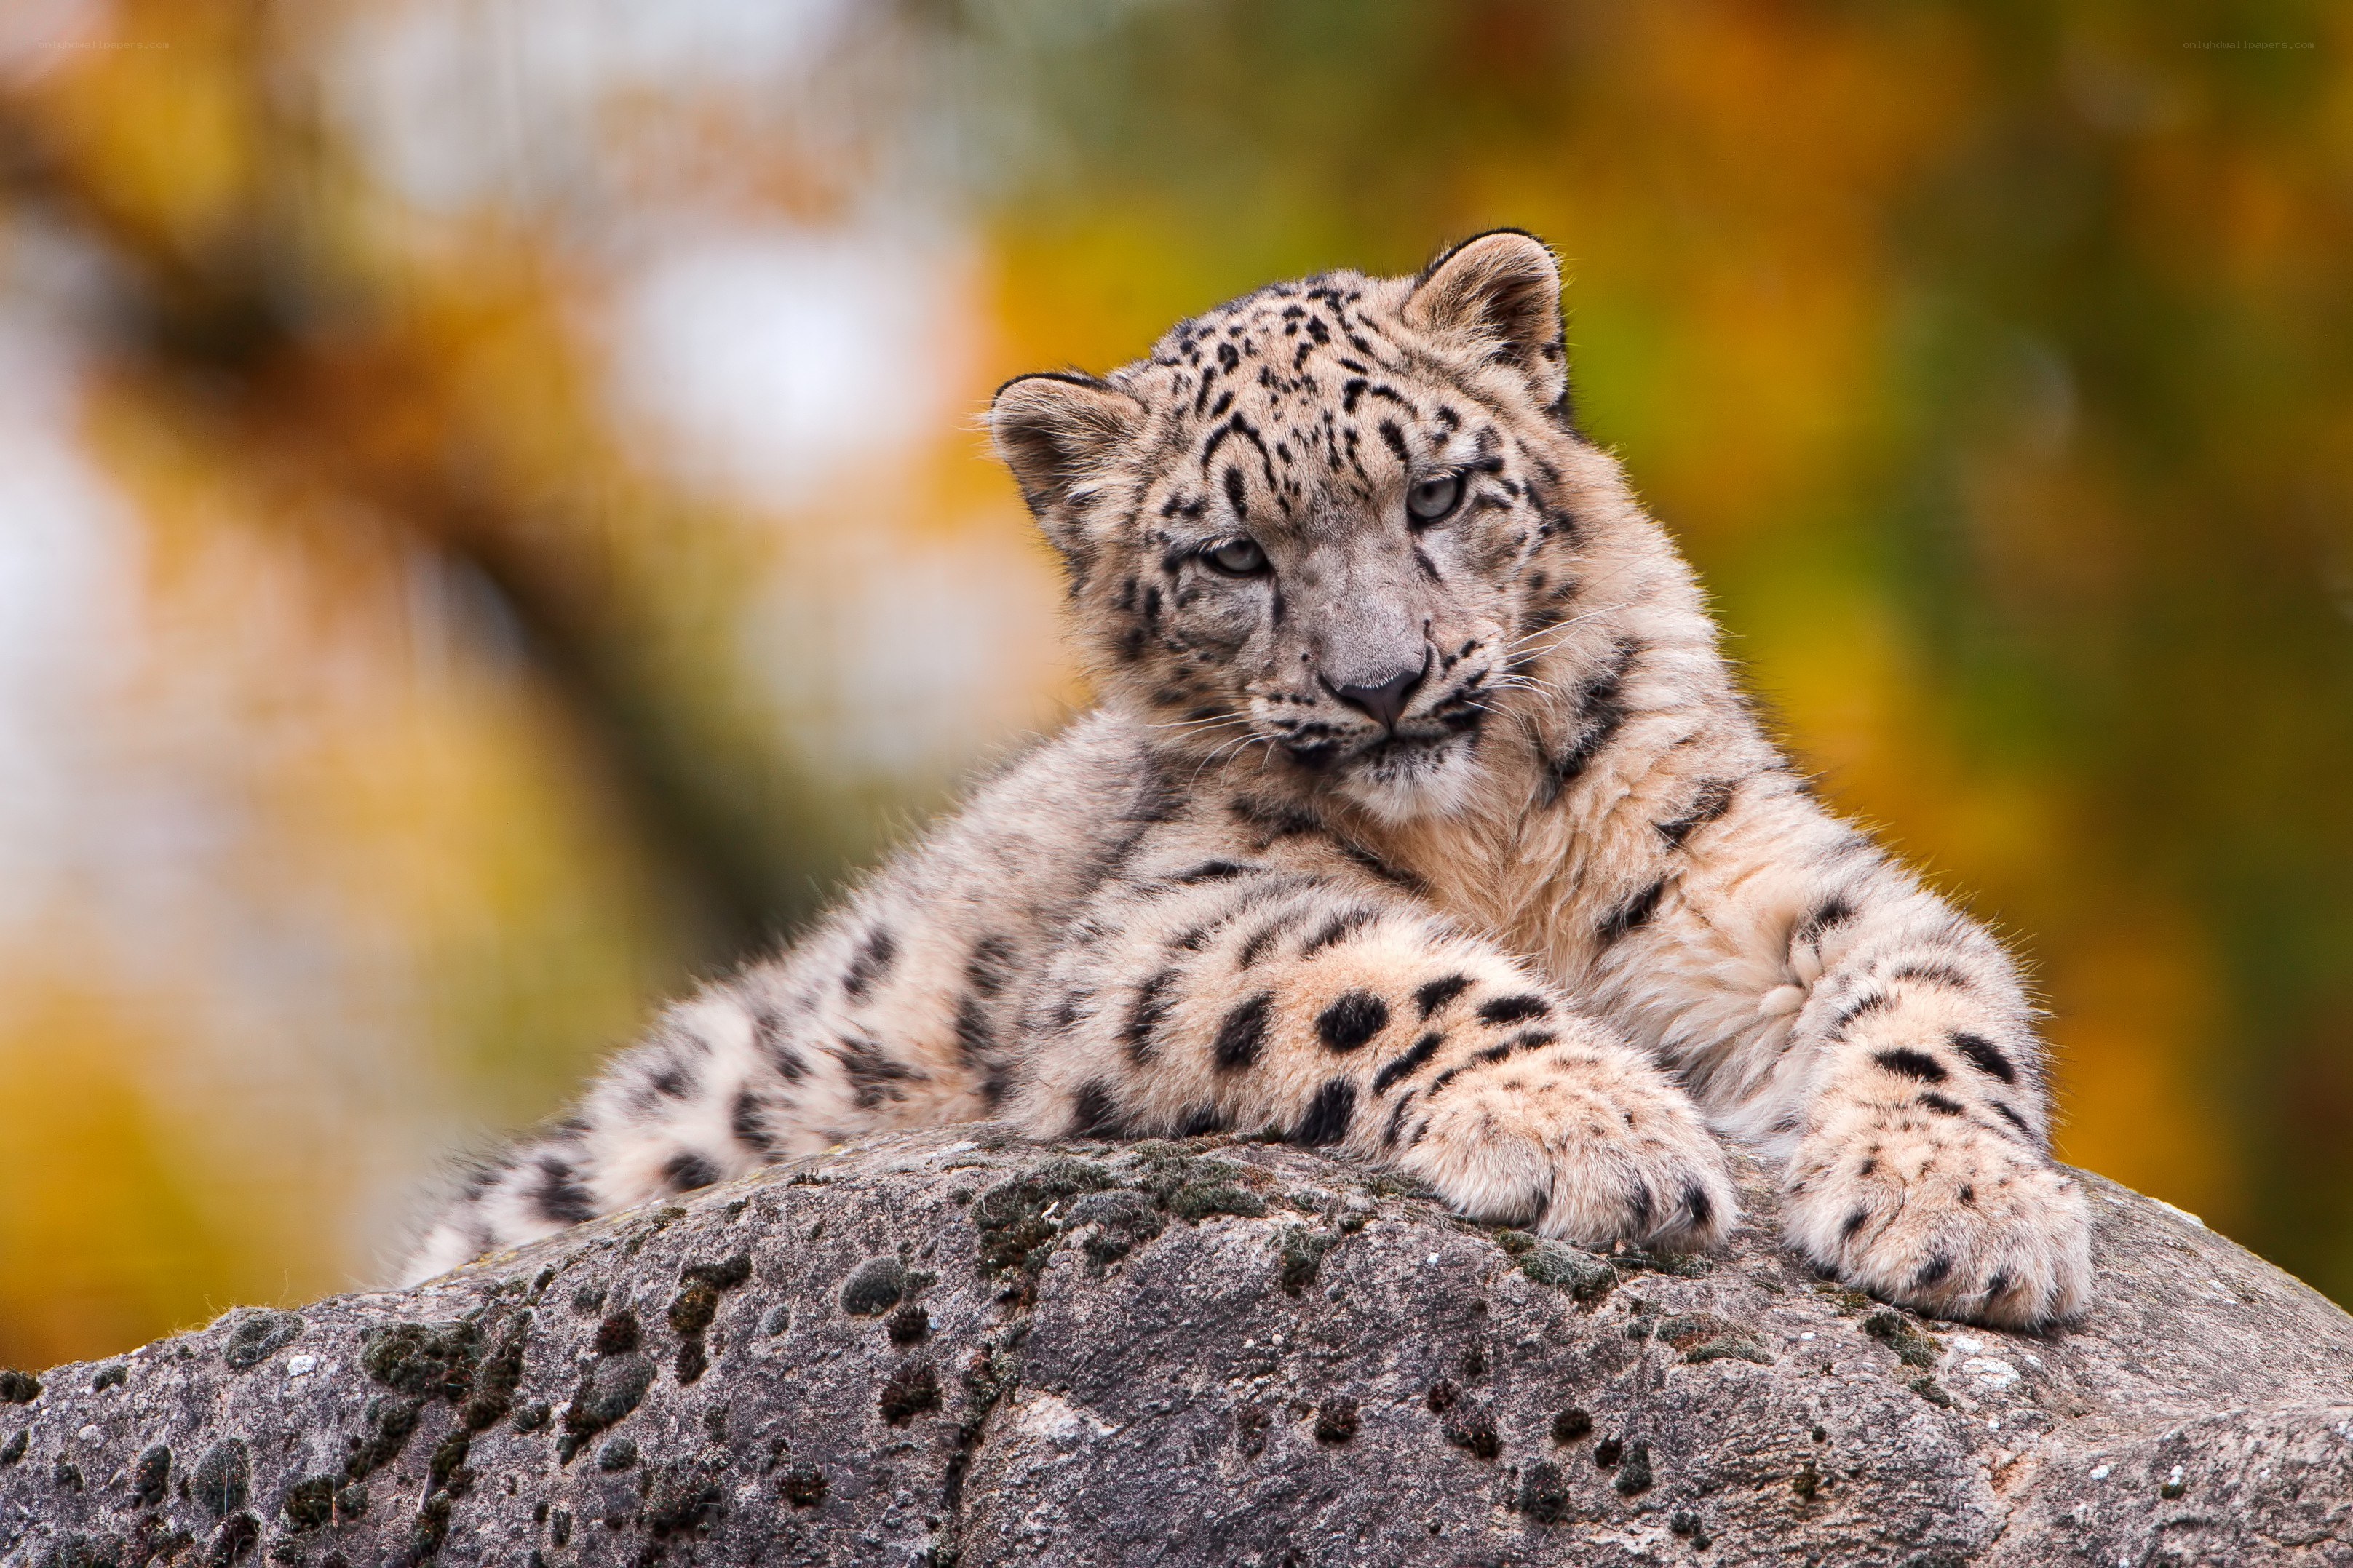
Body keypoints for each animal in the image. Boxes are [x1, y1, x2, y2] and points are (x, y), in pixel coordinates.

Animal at [401, 230, 2092, 1328]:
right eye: (1230, 558)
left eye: (1435, 493)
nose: (1382, 681)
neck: (1489, 837)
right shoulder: (1167, 926)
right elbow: (1393, 974)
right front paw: (1594, 1138)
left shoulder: (1762, 877)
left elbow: (1933, 1002)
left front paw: (1963, 1215)